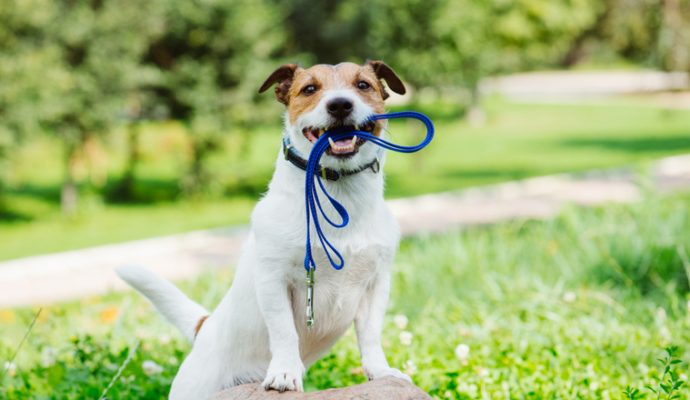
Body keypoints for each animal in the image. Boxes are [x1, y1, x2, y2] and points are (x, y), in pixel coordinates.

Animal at [117, 61, 408, 398]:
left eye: (363, 85)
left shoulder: (376, 283)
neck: (339, 195)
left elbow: (371, 334)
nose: (339, 104)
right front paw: (284, 372)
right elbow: (283, 330)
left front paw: (380, 371)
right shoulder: (273, 278)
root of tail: (206, 327)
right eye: (309, 88)